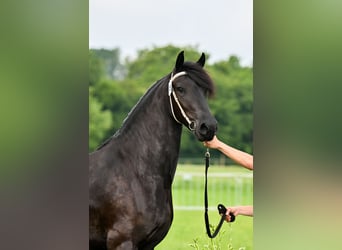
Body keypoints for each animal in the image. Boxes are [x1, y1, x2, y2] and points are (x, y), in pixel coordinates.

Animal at [88, 50, 216, 248]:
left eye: (205, 90)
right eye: (180, 88)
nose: (208, 127)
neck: (135, 171)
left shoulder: (150, 244)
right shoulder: (122, 242)